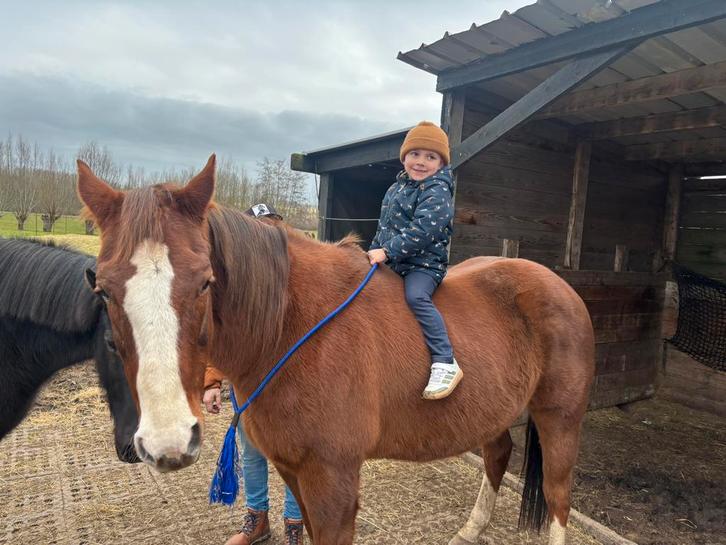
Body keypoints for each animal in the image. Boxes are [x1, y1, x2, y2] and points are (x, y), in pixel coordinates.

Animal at [77, 155, 595, 545]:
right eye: (102, 289)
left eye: (205, 281)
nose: (167, 444)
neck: (290, 327)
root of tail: (558, 285)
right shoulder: (293, 470)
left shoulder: (334, 484)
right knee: (498, 454)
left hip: (560, 418)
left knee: (558, 494)